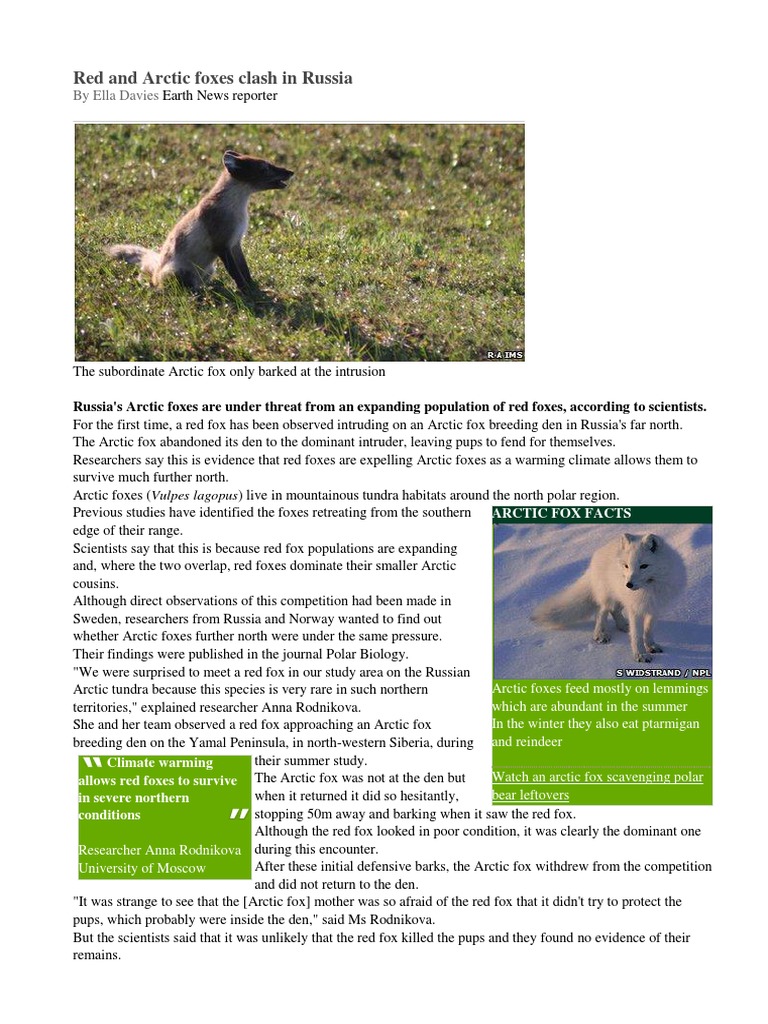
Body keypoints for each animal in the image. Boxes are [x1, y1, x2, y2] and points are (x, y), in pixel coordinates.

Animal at [109, 150, 293, 293]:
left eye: (270, 164)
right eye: (265, 167)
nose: (291, 172)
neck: (237, 209)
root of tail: (156, 273)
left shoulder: (235, 243)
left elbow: (244, 270)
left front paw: (255, 288)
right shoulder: (222, 244)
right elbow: (236, 273)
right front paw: (247, 292)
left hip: (210, 269)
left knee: (198, 283)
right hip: (180, 271)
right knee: (169, 287)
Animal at [532, 533, 686, 662]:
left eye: (644, 566)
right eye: (626, 566)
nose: (628, 584)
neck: (650, 587)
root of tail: (597, 555)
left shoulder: (654, 608)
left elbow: (648, 630)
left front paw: (651, 646)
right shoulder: (635, 609)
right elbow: (636, 635)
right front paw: (640, 655)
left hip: (619, 596)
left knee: (614, 610)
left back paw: (623, 626)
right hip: (607, 596)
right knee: (601, 611)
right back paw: (600, 634)